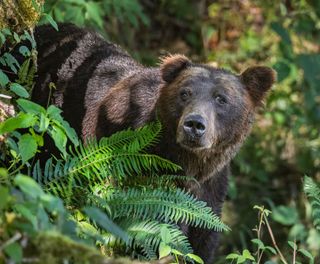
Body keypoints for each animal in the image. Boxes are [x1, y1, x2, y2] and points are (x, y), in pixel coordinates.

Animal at [33, 24, 278, 262]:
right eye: (185, 93)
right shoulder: (144, 173)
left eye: (221, 99)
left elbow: (203, 240)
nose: (194, 124)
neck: (189, 163)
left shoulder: (210, 190)